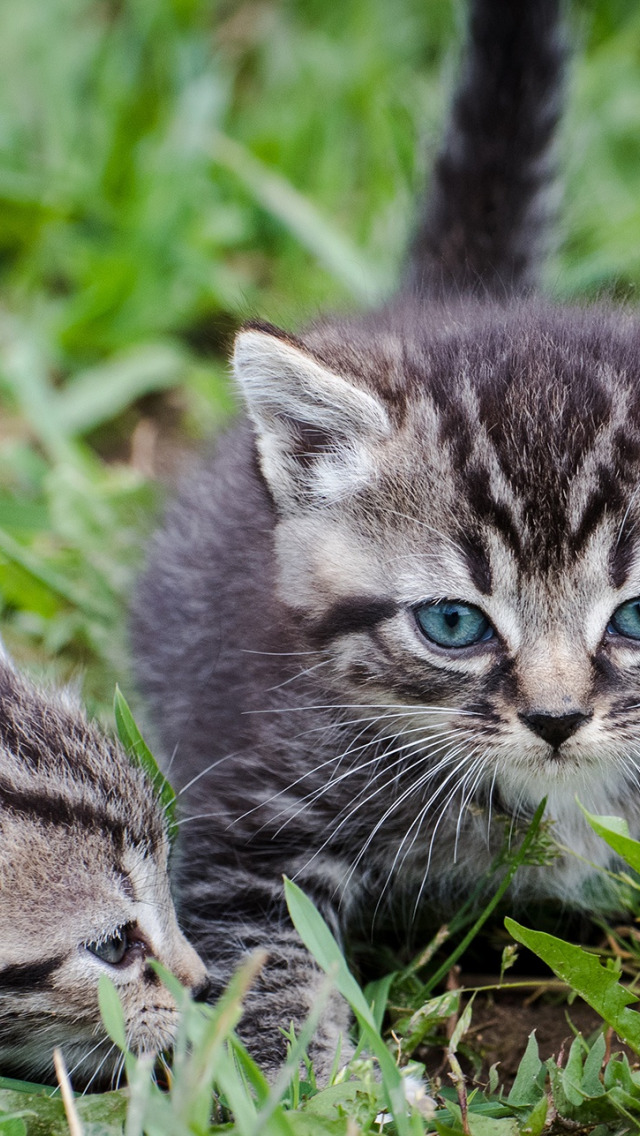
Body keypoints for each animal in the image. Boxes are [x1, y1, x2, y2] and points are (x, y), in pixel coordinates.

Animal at [131, 0, 640, 1076]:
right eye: (453, 624)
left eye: (636, 616)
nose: (556, 719)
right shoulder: (258, 803)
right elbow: (261, 966)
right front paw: (325, 1086)